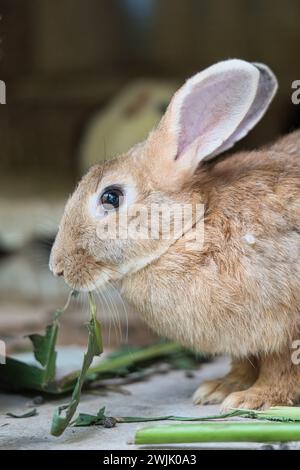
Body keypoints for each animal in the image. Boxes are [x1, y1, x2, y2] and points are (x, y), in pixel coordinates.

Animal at [49, 59, 300, 412]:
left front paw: (252, 399)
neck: (193, 226)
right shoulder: (246, 342)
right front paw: (218, 389)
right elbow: (244, 362)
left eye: (111, 197)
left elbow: (282, 370)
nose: (56, 267)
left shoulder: (286, 326)